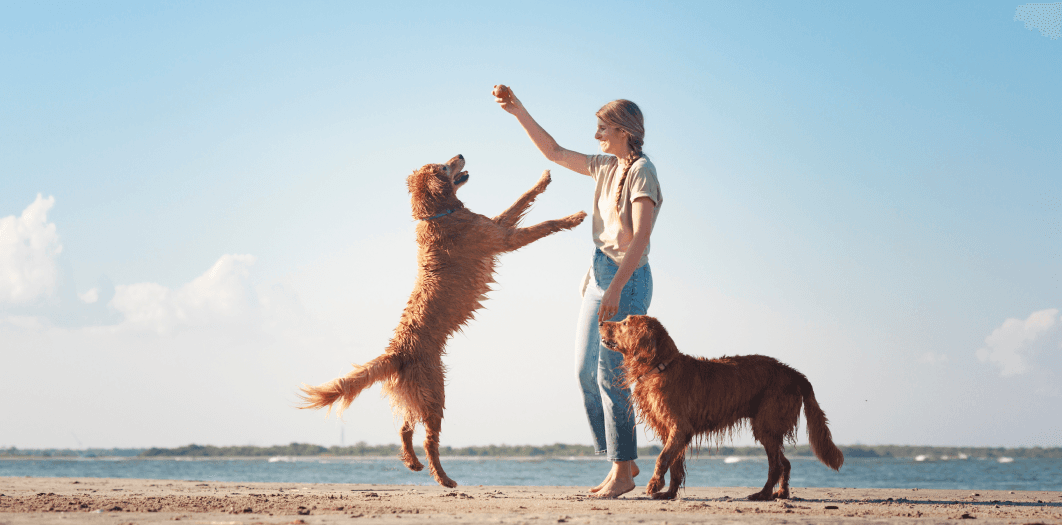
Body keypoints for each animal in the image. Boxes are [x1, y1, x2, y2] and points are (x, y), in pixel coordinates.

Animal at [297, 154, 590, 486]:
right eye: (443, 167)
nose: (460, 154)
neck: (437, 215)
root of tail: (395, 352)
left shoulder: (497, 224)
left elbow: (522, 199)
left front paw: (542, 180)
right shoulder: (505, 238)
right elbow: (544, 224)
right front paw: (573, 218)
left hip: (418, 394)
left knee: (404, 428)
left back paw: (412, 463)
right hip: (436, 393)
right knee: (428, 440)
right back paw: (444, 478)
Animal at [603, 316, 841, 499]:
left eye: (625, 322)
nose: (600, 321)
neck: (660, 366)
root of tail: (795, 373)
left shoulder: (680, 428)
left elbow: (663, 458)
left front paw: (654, 485)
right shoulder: (670, 431)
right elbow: (675, 465)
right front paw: (668, 493)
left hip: (766, 425)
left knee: (776, 466)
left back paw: (762, 494)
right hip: (768, 428)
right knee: (786, 463)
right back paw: (781, 493)